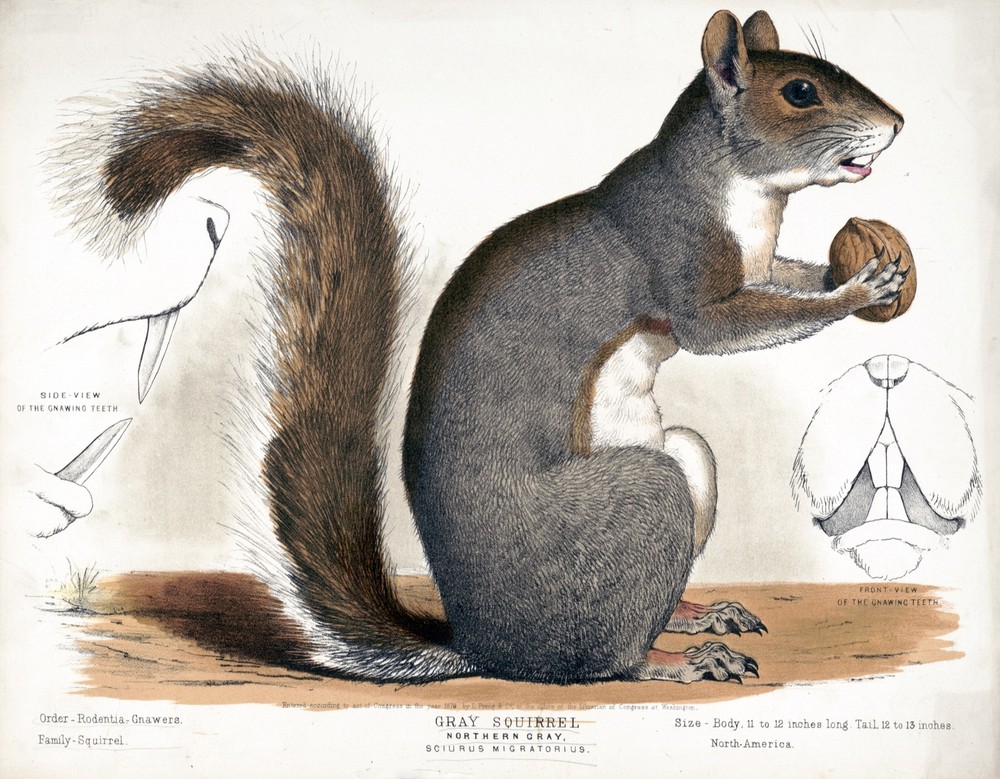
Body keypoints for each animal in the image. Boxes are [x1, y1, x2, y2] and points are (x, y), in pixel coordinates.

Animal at [50, 10, 906, 684]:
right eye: (800, 93)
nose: (896, 124)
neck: (744, 193)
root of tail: (486, 647)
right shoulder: (679, 260)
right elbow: (721, 326)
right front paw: (858, 290)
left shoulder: (757, 264)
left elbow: (784, 280)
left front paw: (852, 271)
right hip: (643, 498)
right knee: (603, 660)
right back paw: (677, 658)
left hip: (685, 459)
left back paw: (698, 613)